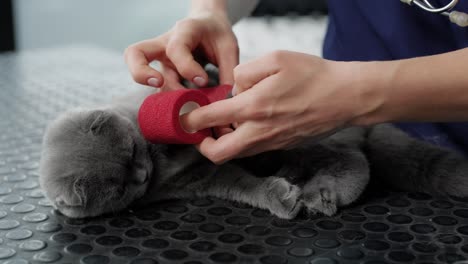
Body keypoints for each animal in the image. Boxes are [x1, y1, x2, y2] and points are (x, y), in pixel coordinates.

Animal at [39, 88, 468, 219]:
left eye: (130, 151)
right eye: (118, 188)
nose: (142, 175)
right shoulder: (203, 179)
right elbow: (243, 185)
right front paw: (279, 196)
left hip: (307, 134)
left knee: (353, 160)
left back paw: (321, 191)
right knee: (353, 161)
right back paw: (313, 188)